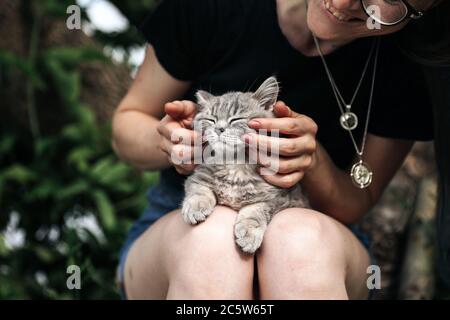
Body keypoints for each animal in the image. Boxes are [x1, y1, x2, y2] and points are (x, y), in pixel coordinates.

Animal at [181, 77, 308, 252]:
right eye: (211, 119)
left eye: (236, 119)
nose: (219, 129)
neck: (235, 165)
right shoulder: (198, 177)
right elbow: (199, 191)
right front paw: (196, 206)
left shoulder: (278, 198)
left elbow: (255, 211)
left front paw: (249, 232)